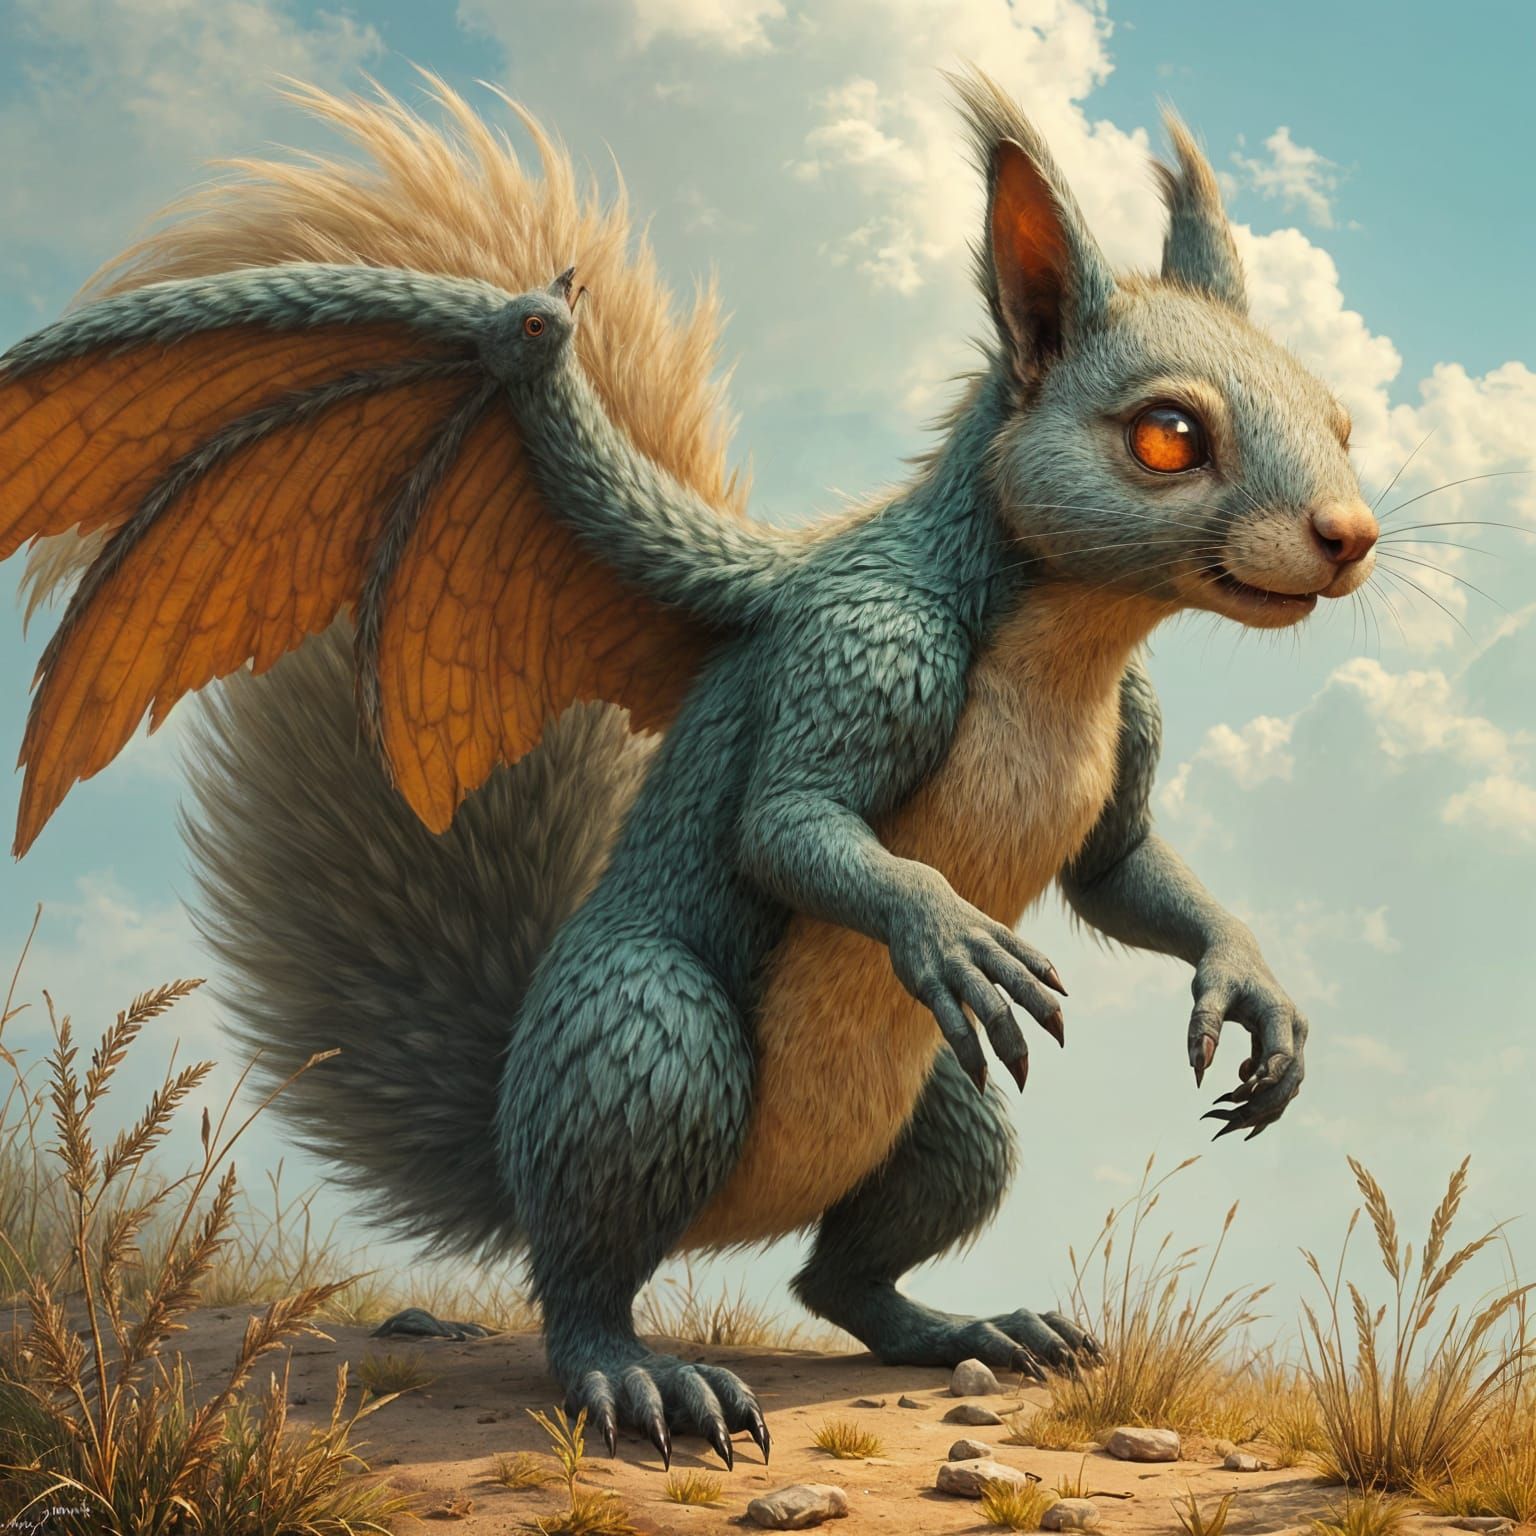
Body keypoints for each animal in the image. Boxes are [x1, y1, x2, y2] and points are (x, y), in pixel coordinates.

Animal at [0, 69, 1378, 1468]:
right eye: (1168, 435)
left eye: (1341, 419)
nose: (1353, 535)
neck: (1075, 641)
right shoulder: (865, 642)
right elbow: (790, 823)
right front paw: (952, 933)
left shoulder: (1126, 727)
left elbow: (1123, 872)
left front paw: (1261, 1004)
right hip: (648, 1050)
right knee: (581, 1284)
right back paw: (648, 1382)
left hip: (950, 1119)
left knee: (839, 1276)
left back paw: (978, 1329)